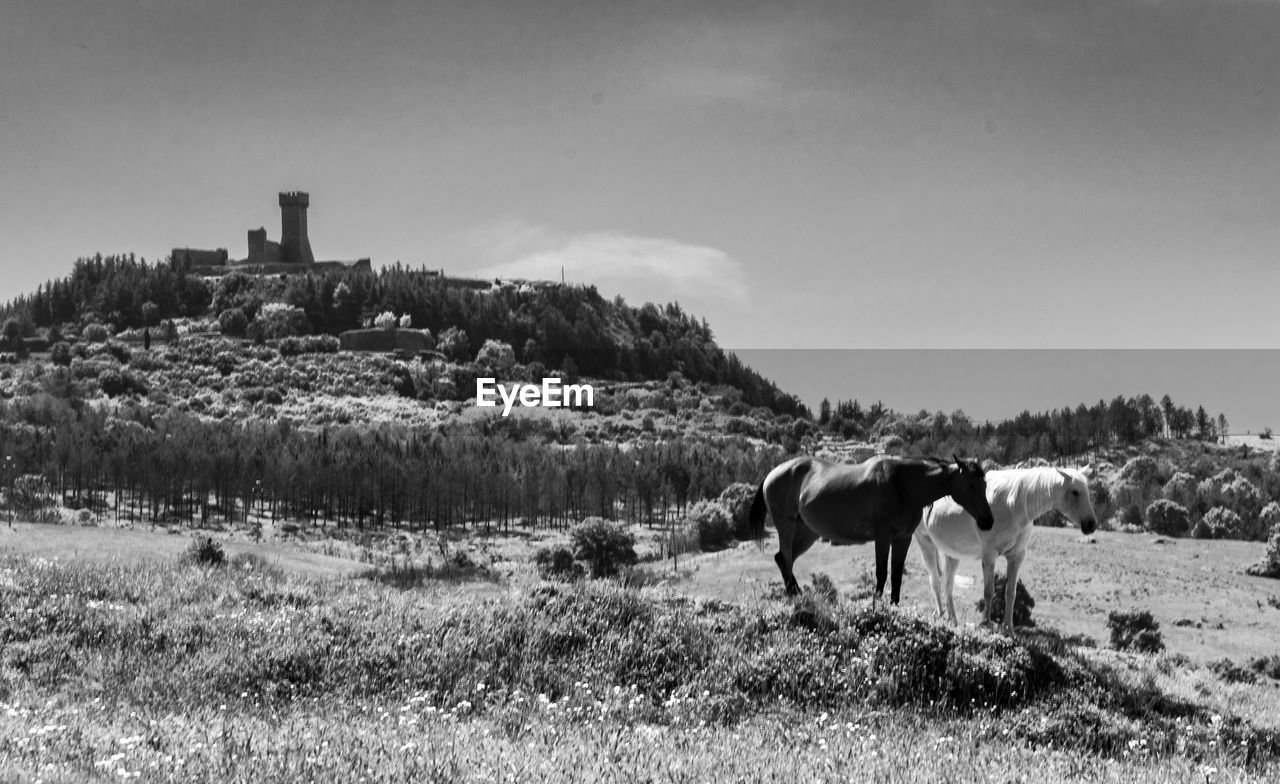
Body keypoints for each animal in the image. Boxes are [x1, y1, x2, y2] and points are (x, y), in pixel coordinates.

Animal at [747, 456, 993, 602]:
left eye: (985, 484)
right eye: (972, 484)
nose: (988, 521)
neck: (902, 486)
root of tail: (772, 473)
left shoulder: (902, 539)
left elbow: (896, 576)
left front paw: (893, 606)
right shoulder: (882, 537)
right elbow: (881, 573)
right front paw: (877, 605)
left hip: (807, 532)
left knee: (783, 559)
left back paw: (797, 593)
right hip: (786, 527)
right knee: (785, 558)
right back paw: (793, 596)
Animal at [911, 466, 1100, 630]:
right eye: (1075, 492)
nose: (1091, 524)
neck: (1014, 506)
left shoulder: (1016, 556)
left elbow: (1011, 593)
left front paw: (1008, 627)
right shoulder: (989, 555)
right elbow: (989, 591)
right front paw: (986, 623)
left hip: (952, 554)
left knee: (947, 585)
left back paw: (953, 621)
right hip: (926, 543)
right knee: (935, 581)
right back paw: (942, 616)